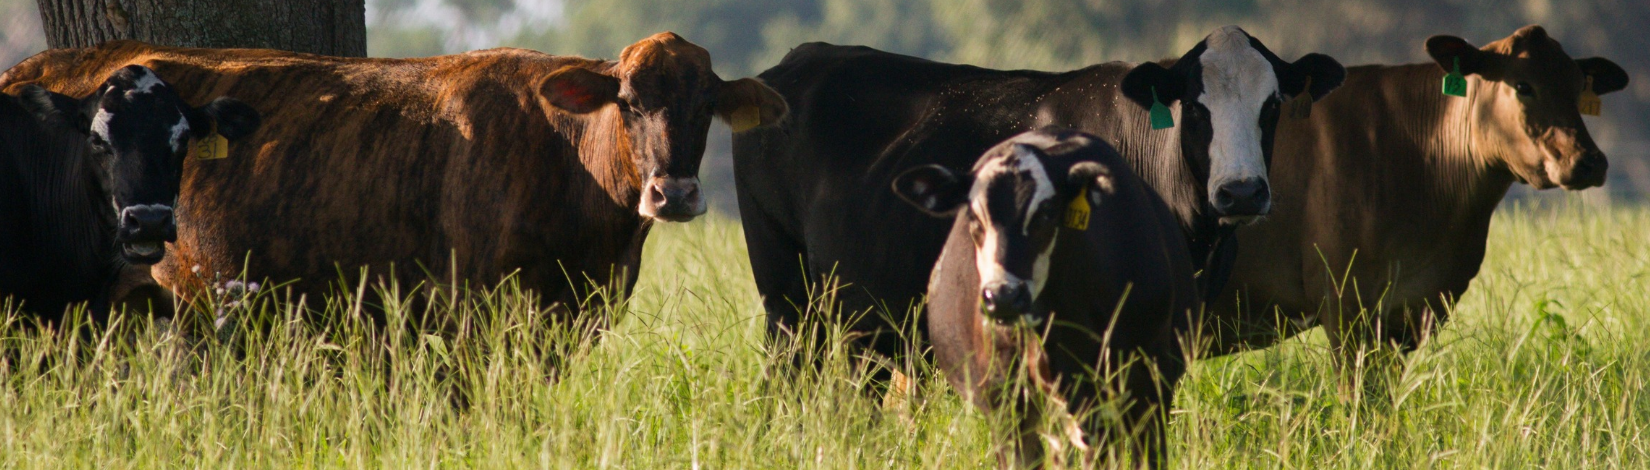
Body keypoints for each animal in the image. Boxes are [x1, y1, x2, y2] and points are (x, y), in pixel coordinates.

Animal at [732, 26, 1344, 373]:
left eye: (1273, 106)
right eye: (1195, 106)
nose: (1240, 191)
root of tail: (798, 59)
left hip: (864, 315)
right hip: (786, 297)